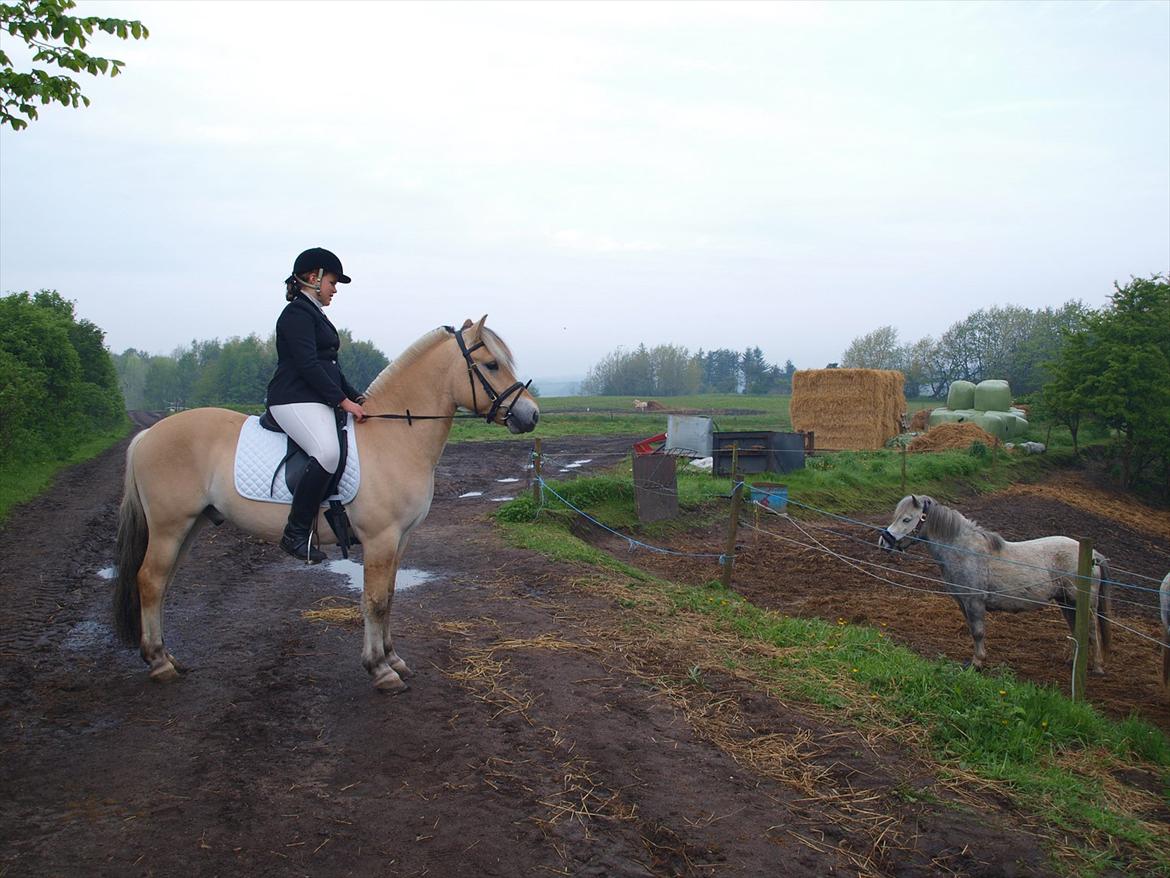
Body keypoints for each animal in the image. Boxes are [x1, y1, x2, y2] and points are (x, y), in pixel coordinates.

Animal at [116, 318, 535, 693]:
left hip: (189, 526)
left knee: (162, 584)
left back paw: (168, 658)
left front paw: (392, 657)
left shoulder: (401, 539)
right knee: (150, 581)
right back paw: (159, 664)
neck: (395, 435)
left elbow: (390, 596)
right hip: (170, 526)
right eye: (492, 364)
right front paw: (380, 669)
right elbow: (374, 600)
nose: (530, 415)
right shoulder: (381, 539)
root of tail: (148, 434)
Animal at [879, 496, 1113, 674]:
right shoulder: (963, 602)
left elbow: (978, 632)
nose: (884, 542)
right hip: (1067, 603)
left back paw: (1098, 667)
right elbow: (973, 630)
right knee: (1077, 630)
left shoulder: (975, 602)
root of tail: (1094, 556)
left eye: (907, 519)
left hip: (1084, 605)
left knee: (1092, 631)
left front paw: (977, 662)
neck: (964, 551)